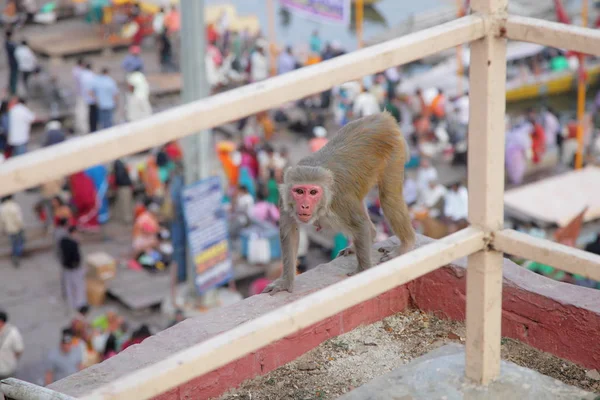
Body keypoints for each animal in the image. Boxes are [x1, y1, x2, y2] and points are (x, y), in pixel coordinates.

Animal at [264, 111, 414, 294]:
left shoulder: (339, 201)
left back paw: (405, 245)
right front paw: (285, 282)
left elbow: (360, 226)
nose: (305, 205)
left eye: (313, 192)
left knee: (389, 197)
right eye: (299, 191)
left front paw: (364, 272)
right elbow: (290, 233)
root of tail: (383, 117)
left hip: (395, 151)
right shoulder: (284, 200)